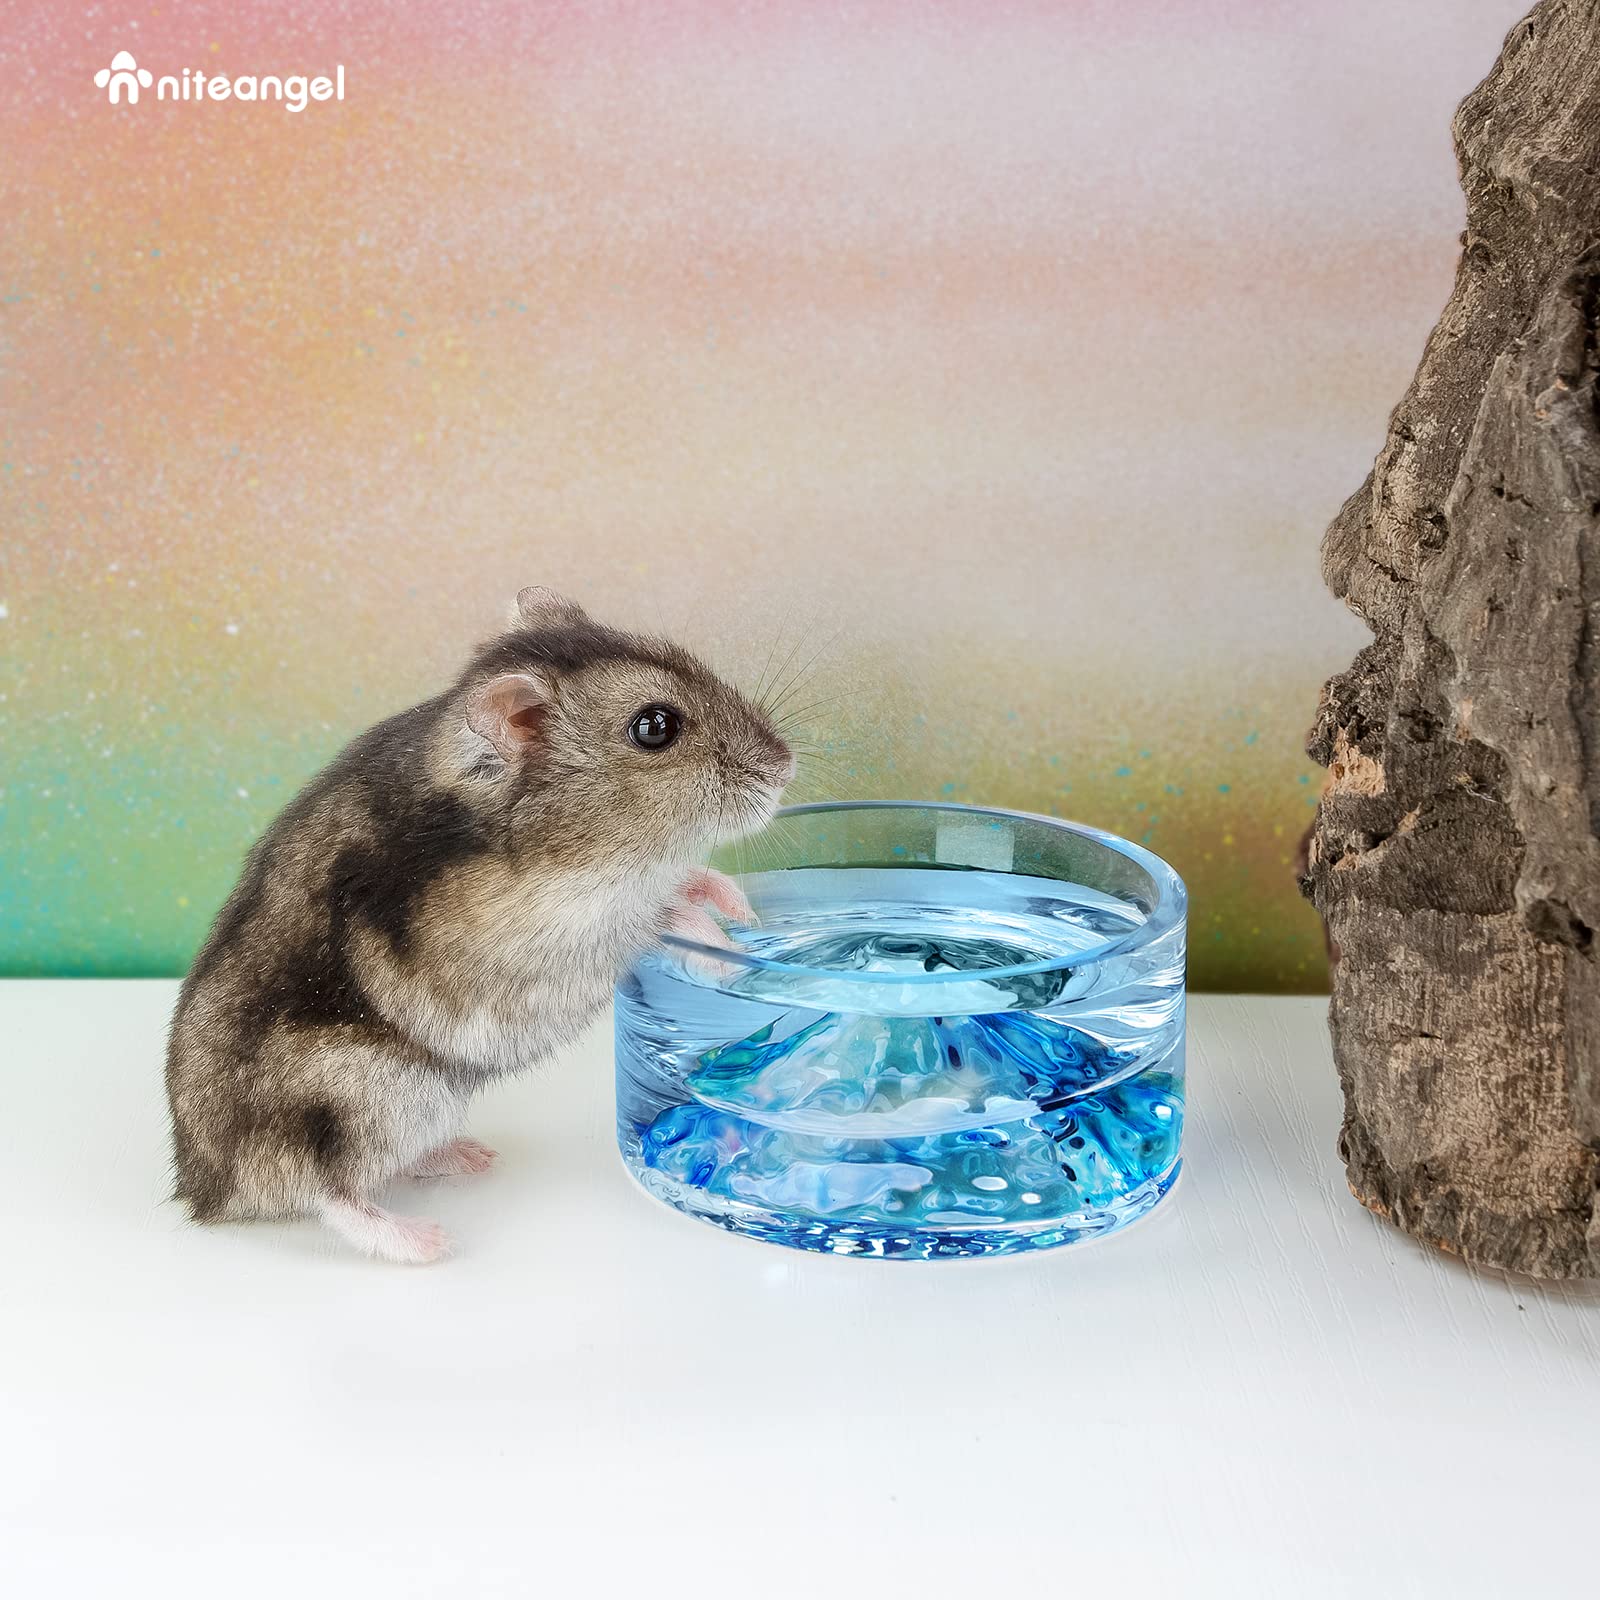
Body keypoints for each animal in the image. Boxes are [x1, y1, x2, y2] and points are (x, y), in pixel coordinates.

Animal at [165, 587, 794, 1263]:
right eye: (655, 727)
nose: (786, 766)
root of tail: (205, 1195)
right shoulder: (541, 939)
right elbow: (653, 917)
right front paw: (725, 953)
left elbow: (682, 880)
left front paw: (740, 906)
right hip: (363, 1096)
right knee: (329, 1191)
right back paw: (429, 1241)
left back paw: (469, 1157)